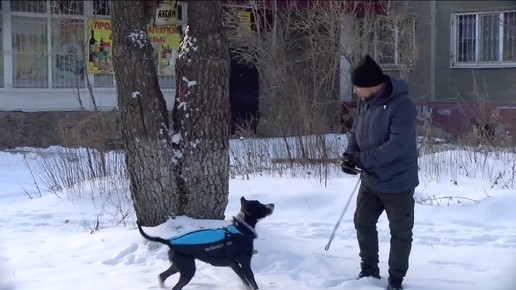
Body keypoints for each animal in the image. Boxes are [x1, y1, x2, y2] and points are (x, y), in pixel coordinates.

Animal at [136, 196, 274, 290]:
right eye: (259, 206)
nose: (272, 204)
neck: (241, 229)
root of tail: (169, 241)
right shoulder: (243, 264)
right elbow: (251, 282)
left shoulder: (235, 265)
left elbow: (245, 281)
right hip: (188, 270)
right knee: (175, 286)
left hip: (179, 265)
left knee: (162, 275)